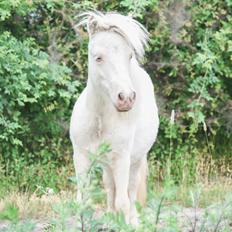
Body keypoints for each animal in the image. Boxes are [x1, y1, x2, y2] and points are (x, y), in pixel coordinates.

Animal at [70, 11, 159, 226]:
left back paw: (134, 220)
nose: (126, 98)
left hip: (135, 161)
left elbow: (123, 201)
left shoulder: (122, 159)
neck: (100, 121)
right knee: (110, 187)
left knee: (131, 191)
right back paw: (110, 217)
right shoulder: (81, 156)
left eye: (129, 56)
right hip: (106, 164)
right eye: (98, 57)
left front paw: (125, 223)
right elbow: (83, 199)